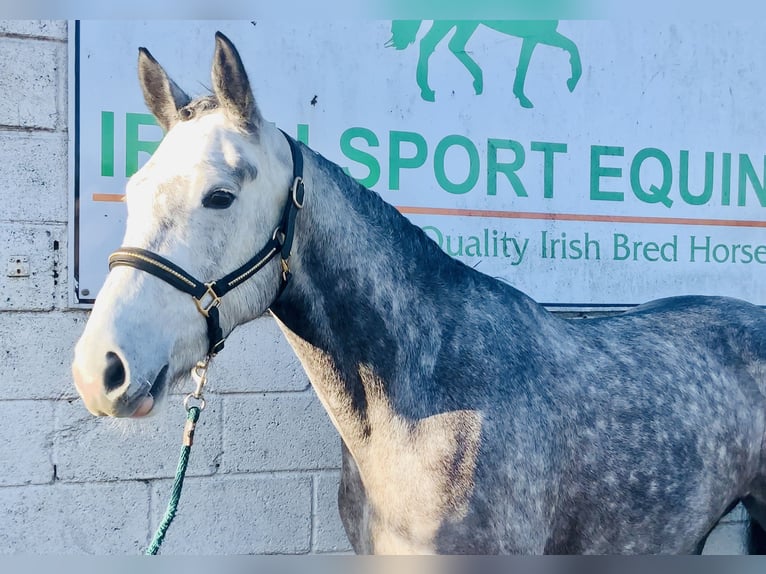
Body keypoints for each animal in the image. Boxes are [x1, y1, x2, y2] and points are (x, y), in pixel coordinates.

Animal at [385, 20, 582, 108]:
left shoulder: (533, 37)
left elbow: (523, 66)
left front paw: (520, 95)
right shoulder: (539, 34)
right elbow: (573, 47)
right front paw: (572, 81)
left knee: (453, 45)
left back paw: (478, 81)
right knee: (431, 44)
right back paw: (426, 90)